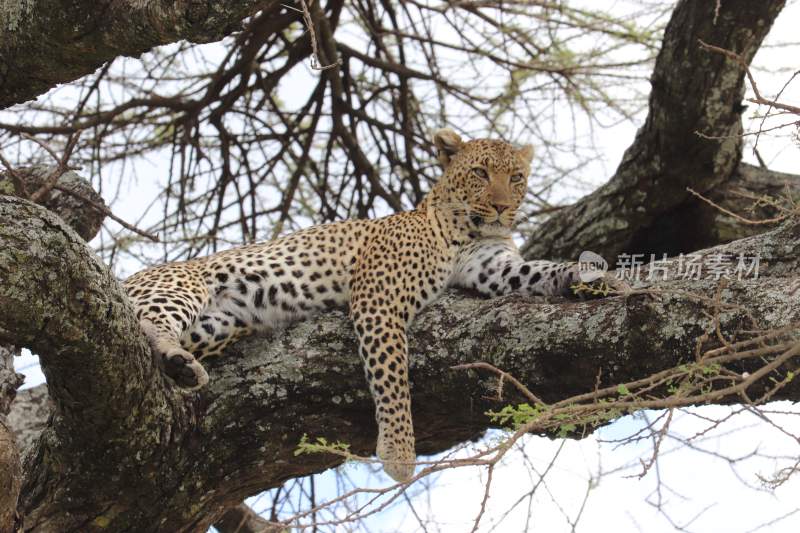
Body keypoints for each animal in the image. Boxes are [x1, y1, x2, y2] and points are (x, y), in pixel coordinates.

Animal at [123, 129, 612, 482]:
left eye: (516, 179)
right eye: (479, 172)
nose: (501, 208)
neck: (465, 230)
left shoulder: (494, 268)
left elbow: (538, 272)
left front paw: (591, 277)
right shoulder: (379, 299)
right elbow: (393, 377)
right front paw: (399, 452)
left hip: (218, 322)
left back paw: (181, 369)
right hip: (181, 286)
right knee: (147, 321)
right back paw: (177, 360)